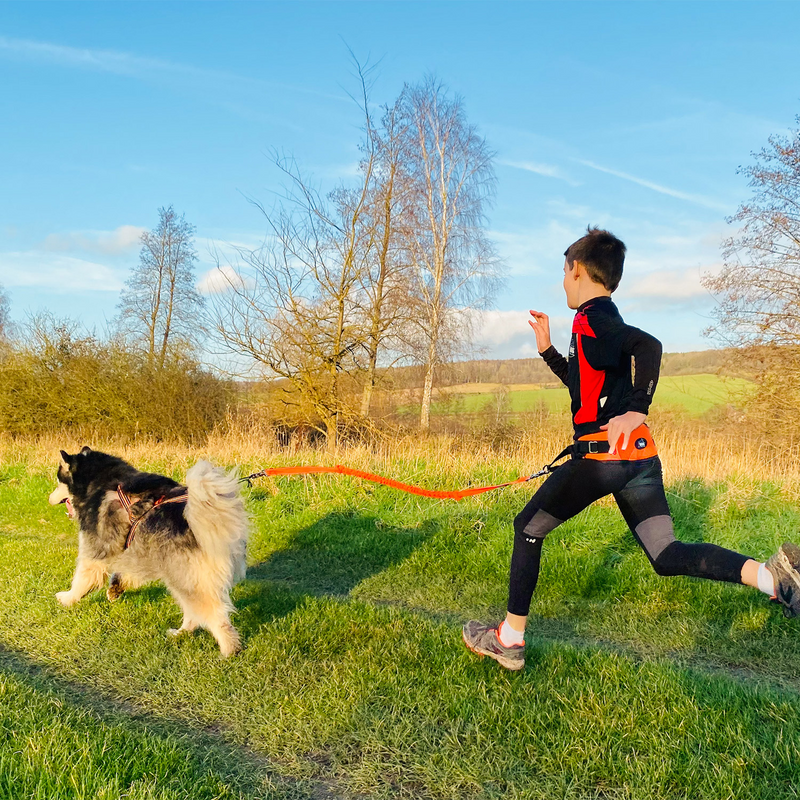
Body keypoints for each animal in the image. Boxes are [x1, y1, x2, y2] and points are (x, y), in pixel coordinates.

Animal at [48, 446, 248, 660]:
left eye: (58, 481)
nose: (49, 498)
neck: (96, 482)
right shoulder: (138, 548)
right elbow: (126, 573)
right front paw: (116, 587)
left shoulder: (94, 549)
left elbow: (82, 580)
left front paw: (68, 598)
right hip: (180, 575)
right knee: (194, 612)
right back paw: (181, 633)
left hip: (184, 576)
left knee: (214, 616)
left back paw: (229, 649)